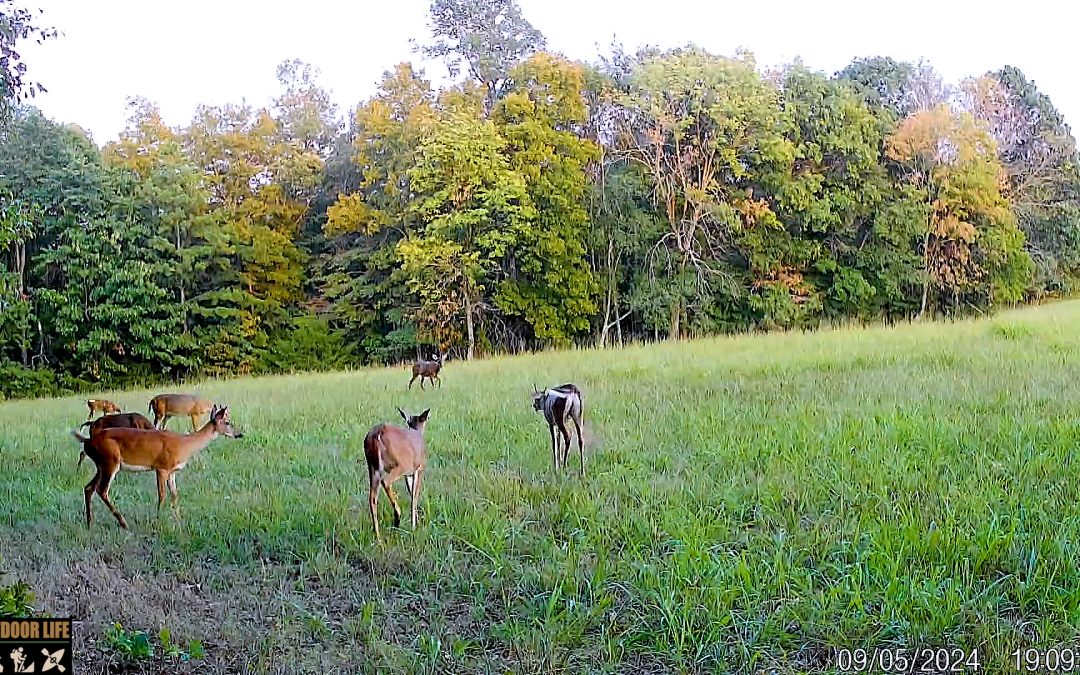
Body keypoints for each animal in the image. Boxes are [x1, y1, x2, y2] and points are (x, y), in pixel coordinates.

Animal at [72, 404, 242, 529]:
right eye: (228, 422)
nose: (239, 434)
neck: (184, 444)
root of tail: (87, 441)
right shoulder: (162, 467)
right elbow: (162, 495)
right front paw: (159, 521)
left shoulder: (172, 471)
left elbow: (174, 494)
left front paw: (178, 520)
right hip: (110, 460)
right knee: (102, 490)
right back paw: (123, 523)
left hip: (101, 465)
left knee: (89, 488)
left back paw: (90, 522)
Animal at [363, 406, 430, 543]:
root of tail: (376, 434)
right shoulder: (419, 468)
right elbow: (415, 496)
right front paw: (414, 526)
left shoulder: (408, 475)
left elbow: (411, 493)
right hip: (399, 464)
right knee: (386, 482)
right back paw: (397, 517)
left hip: (372, 467)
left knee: (372, 498)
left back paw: (378, 537)